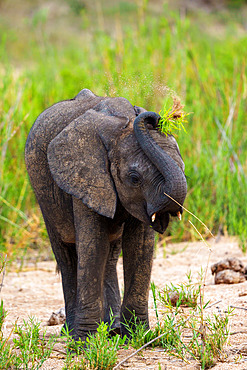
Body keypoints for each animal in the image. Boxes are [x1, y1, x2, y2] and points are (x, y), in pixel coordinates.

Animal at [25, 88, 187, 340]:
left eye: (183, 167)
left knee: (110, 257)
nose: (149, 117)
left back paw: (113, 329)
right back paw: (71, 332)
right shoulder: (85, 178)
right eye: (134, 178)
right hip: (44, 196)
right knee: (66, 255)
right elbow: (93, 246)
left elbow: (139, 246)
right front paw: (84, 342)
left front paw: (139, 337)